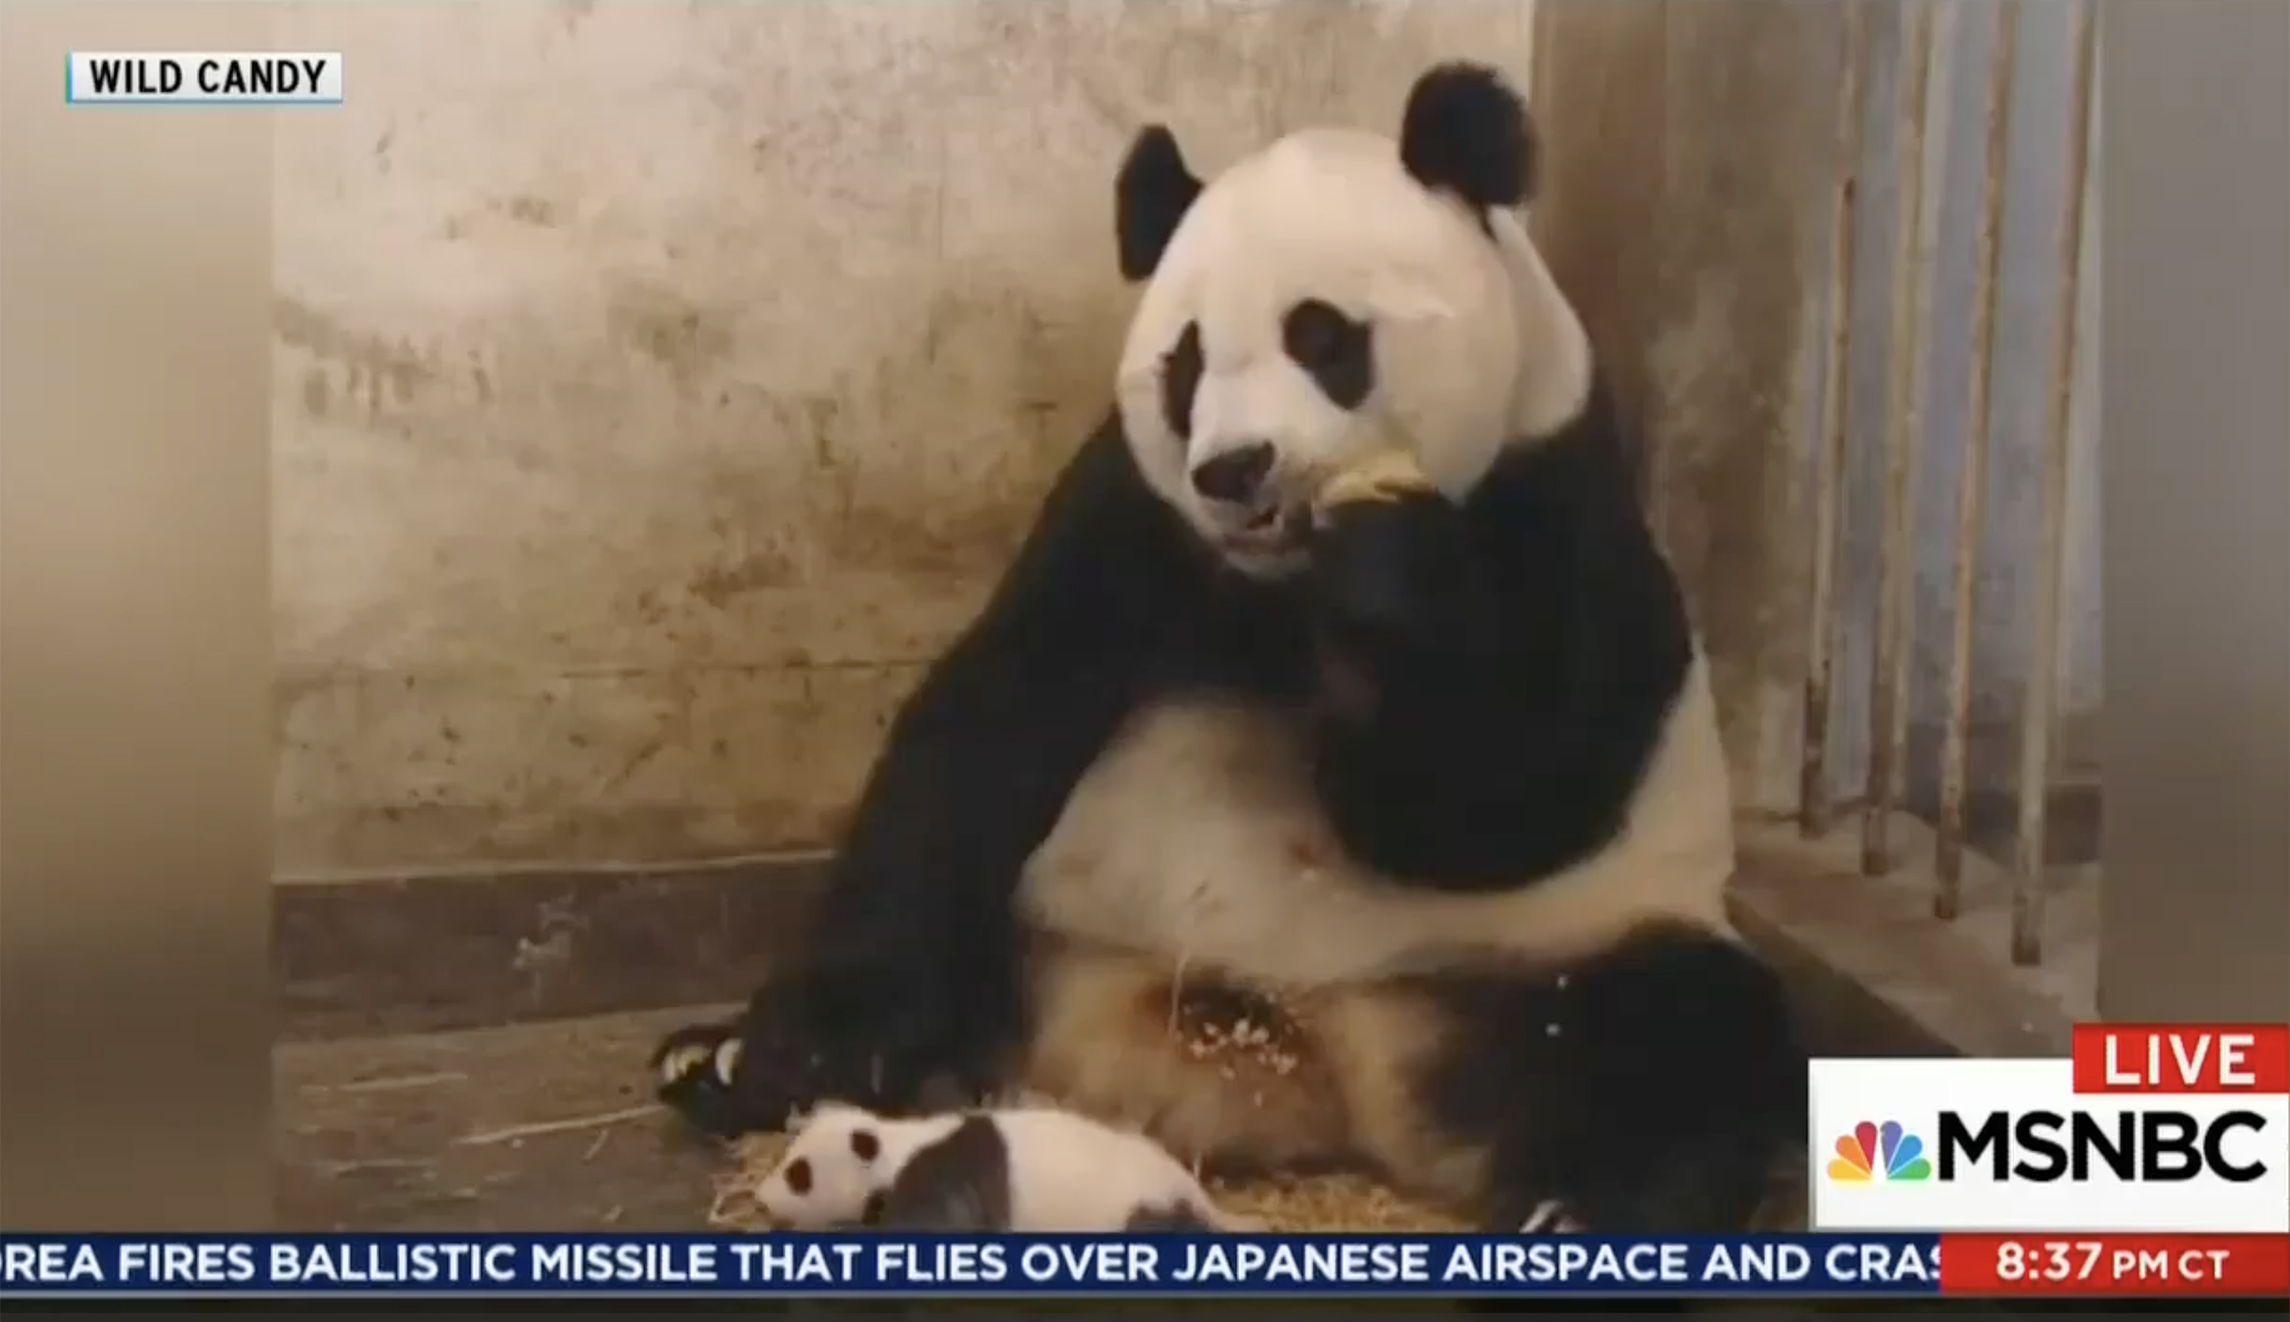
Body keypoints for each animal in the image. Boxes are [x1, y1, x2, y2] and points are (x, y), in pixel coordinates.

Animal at [653, 61, 1805, 1238]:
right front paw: (808, 1043)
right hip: (1050, 921)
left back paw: (1592, 1203)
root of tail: (1305, 1061)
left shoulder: (1555, 493)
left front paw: (1392, 586)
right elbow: (991, 719)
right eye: (1188, 361)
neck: (1283, 581)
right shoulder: (1130, 511)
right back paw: (740, 1066)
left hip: (1544, 955)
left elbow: (1509, 799)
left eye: (1324, 337)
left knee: (1689, 1025)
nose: (1237, 469)